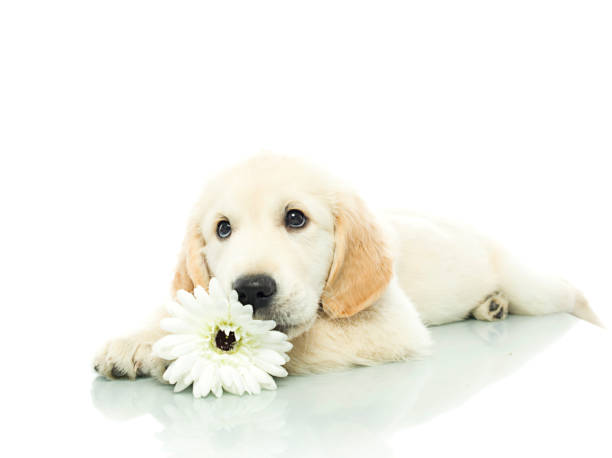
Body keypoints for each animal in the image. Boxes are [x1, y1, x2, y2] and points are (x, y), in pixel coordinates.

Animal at [94, 154, 596, 380]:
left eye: (296, 218)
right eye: (222, 229)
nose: (251, 290)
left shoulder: (392, 326)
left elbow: (291, 341)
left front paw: (167, 350)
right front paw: (137, 339)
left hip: (533, 286)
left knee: (567, 290)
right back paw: (490, 307)